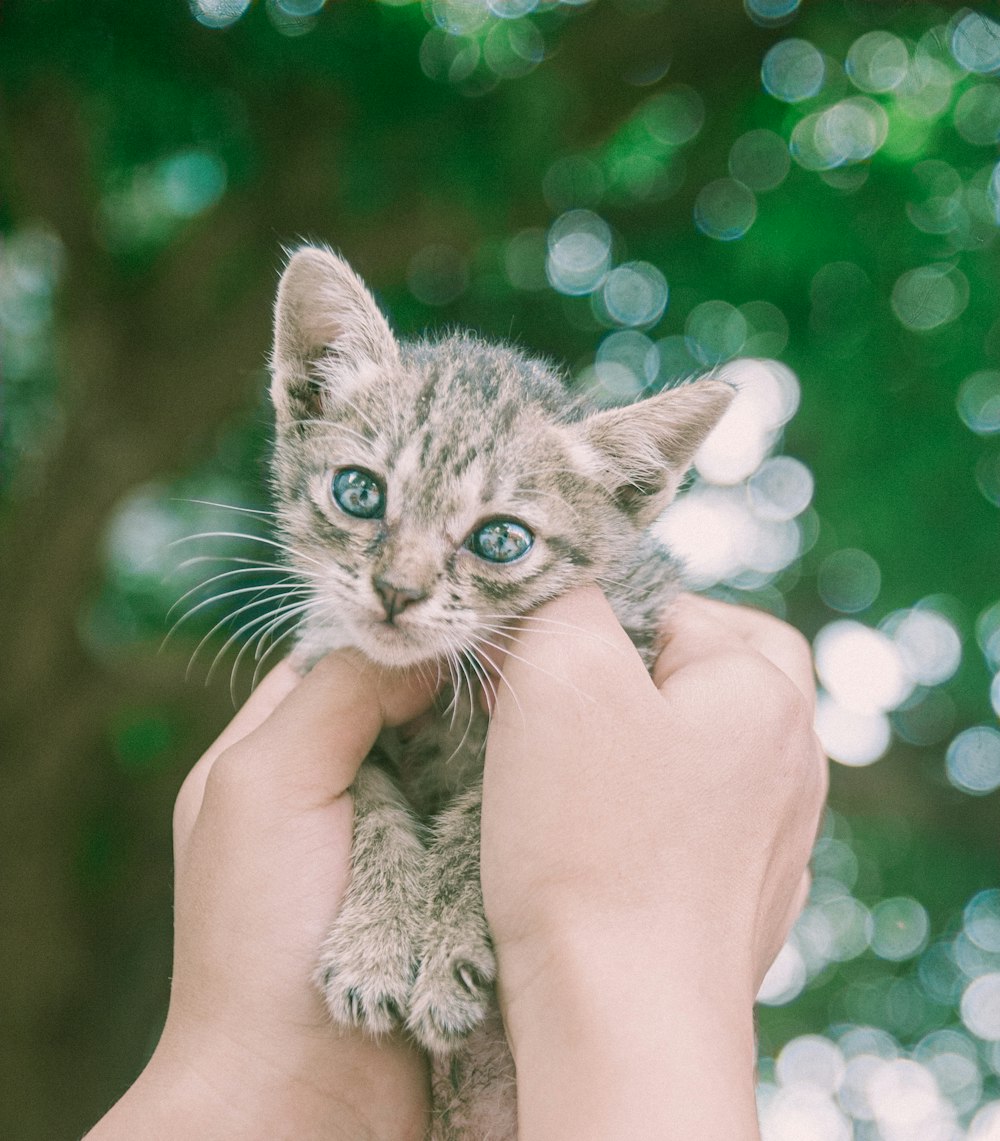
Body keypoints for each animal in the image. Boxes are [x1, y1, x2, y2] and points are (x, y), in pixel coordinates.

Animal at [265, 245, 735, 1136]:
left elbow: (479, 811)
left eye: (500, 540)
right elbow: (372, 798)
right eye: (359, 491)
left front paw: (446, 950)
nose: (397, 590)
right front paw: (375, 944)